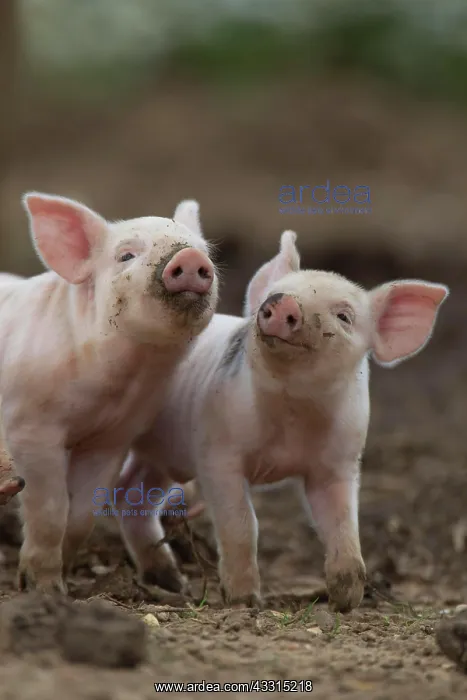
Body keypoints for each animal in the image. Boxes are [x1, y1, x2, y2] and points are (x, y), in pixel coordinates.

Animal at [0, 192, 218, 594]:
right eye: (126, 255)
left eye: (204, 249)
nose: (190, 258)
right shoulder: (30, 426)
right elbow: (52, 509)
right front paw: (44, 590)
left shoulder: (113, 437)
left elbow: (82, 514)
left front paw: (67, 576)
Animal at [117, 229, 449, 611]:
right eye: (275, 293)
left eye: (344, 316)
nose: (283, 301)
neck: (292, 413)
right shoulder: (217, 453)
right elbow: (242, 524)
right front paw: (244, 600)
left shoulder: (339, 463)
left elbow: (343, 524)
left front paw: (346, 599)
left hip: (162, 454)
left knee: (131, 494)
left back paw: (171, 582)